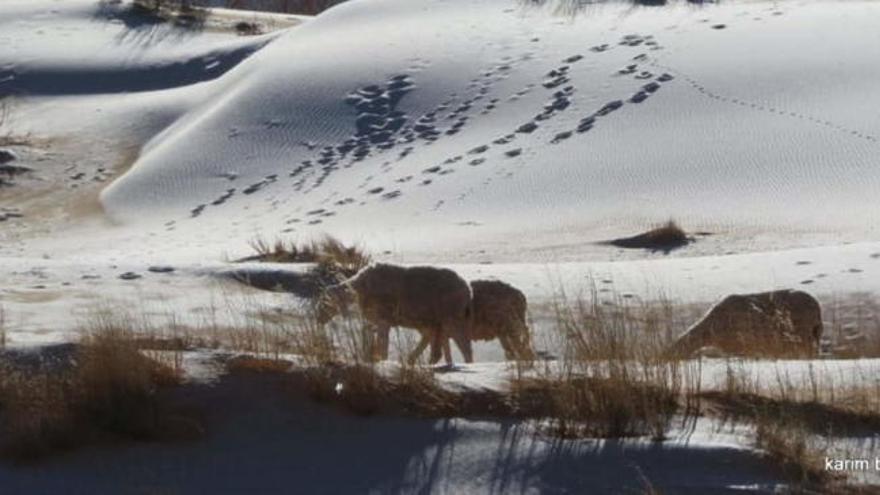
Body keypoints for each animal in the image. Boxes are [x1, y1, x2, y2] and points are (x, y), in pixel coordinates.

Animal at [312, 266, 470, 366]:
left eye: (323, 304)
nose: (318, 319)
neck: (358, 288)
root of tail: (467, 289)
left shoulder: (383, 320)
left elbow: (383, 348)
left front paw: (383, 363)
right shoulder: (378, 321)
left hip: (452, 318)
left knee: (465, 348)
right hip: (430, 321)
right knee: (435, 346)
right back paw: (417, 361)